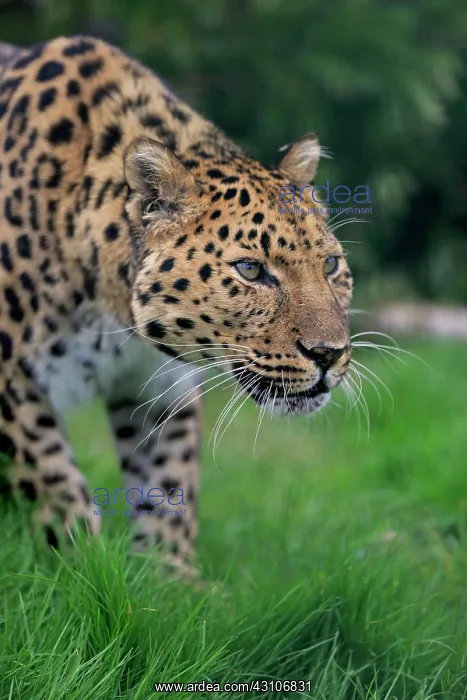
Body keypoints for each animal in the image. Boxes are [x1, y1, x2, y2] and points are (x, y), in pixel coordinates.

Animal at [0, 35, 353, 577]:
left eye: (331, 265)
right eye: (251, 271)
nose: (329, 354)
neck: (115, 319)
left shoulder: (163, 388)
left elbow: (168, 488)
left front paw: (169, 582)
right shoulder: (11, 380)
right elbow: (55, 484)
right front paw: (81, 568)